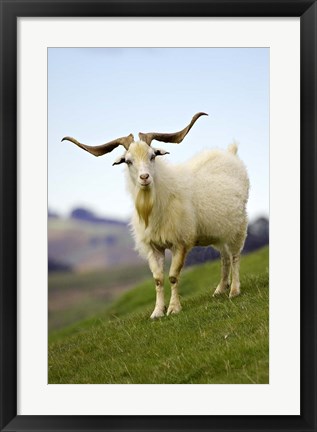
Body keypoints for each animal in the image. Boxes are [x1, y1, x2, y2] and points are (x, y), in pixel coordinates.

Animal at [61, 113, 249, 318]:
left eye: (153, 156)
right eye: (128, 161)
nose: (144, 178)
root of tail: (230, 153)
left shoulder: (180, 243)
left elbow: (173, 276)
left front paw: (174, 309)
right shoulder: (153, 247)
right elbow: (158, 279)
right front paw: (157, 311)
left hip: (238, 227)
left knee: (235, 256)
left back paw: (234, 290)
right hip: (219, 232)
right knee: (224, 257)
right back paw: (220, 289)